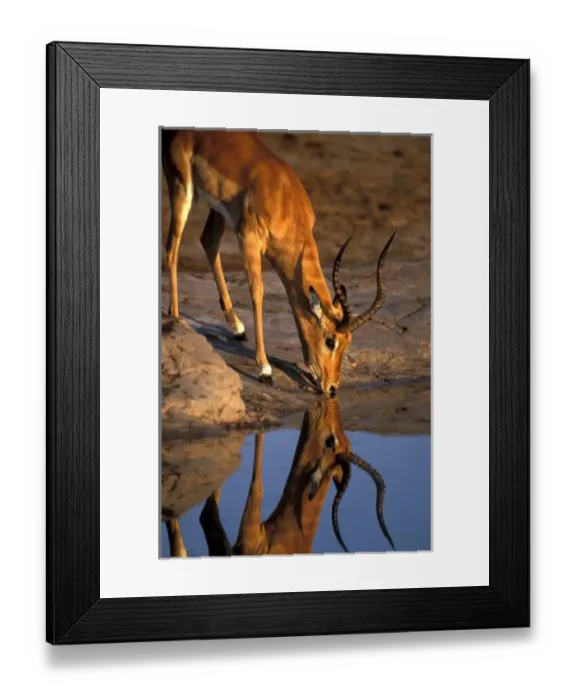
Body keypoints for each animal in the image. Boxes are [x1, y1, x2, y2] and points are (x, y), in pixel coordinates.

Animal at [161, 129, 397, 397]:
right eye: (330, 340)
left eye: (348, 342)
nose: (332, 388)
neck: (285, 201)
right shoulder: (249, 239)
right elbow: (257, 293)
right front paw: (264, 369)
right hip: (182, 189)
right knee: (172, 247)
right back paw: (177, 320)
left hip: (218, 210)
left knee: (208, 242)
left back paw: (237, 328)